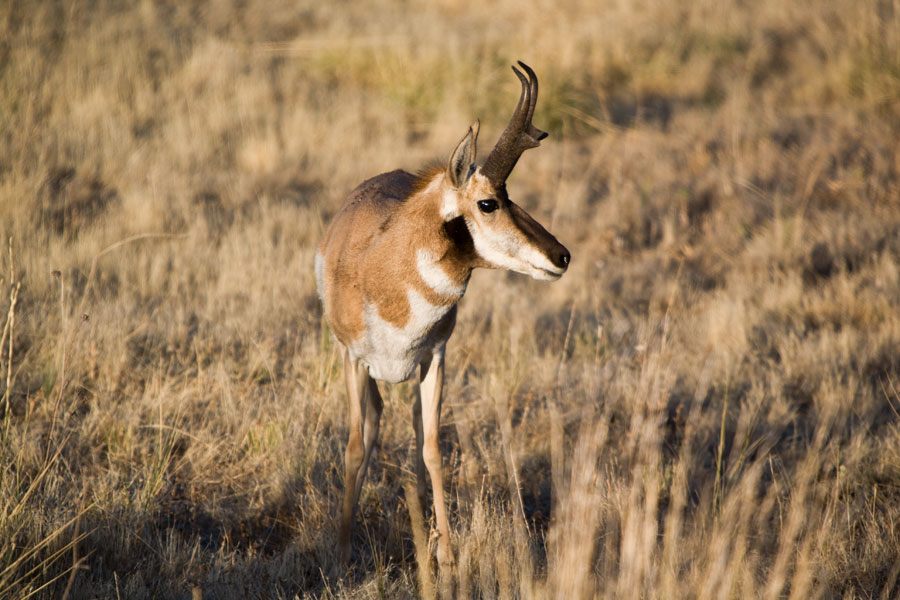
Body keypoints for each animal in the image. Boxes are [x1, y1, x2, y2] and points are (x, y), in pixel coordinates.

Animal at [314, 62, 570, 574]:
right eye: (489, 202)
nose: (562, 256)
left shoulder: (435, 359)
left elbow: (432, 448)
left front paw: (447, 554)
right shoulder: (354, 360)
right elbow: (353, 446)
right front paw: (344, 553)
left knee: (413, 429)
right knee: (372, 423)